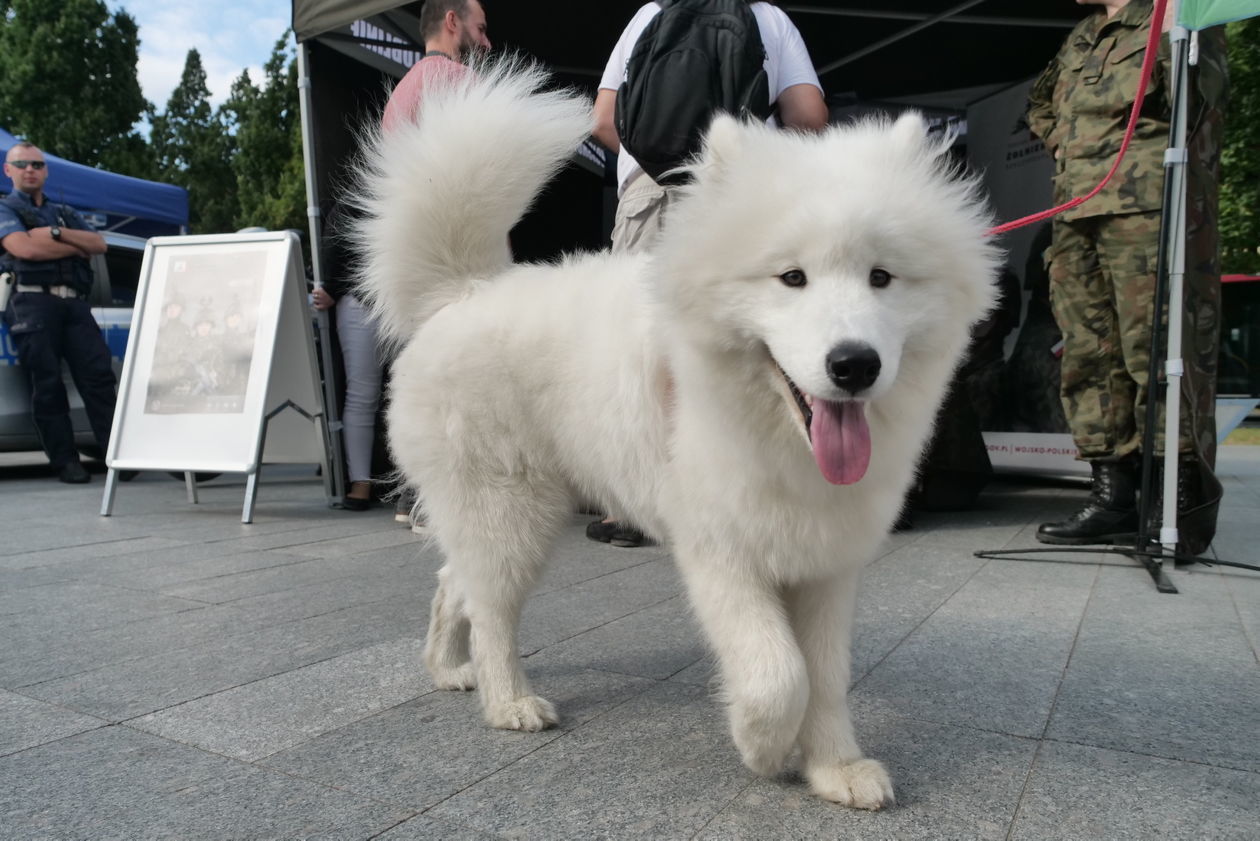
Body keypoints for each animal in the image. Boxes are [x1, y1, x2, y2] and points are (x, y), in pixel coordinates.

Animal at [350, 59, 997, 806]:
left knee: (457, 582)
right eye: (792, 277)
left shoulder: (827, 564)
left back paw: (449, 670)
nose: (855, 364)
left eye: (882, 277)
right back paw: (508, 701)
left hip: (498, 517)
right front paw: (762, 746)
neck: (778, 438)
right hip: (512, 513)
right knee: (492, 611)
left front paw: (836, 766)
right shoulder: (721, 553)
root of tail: (459, 294)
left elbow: (827, 676)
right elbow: (778, 673)